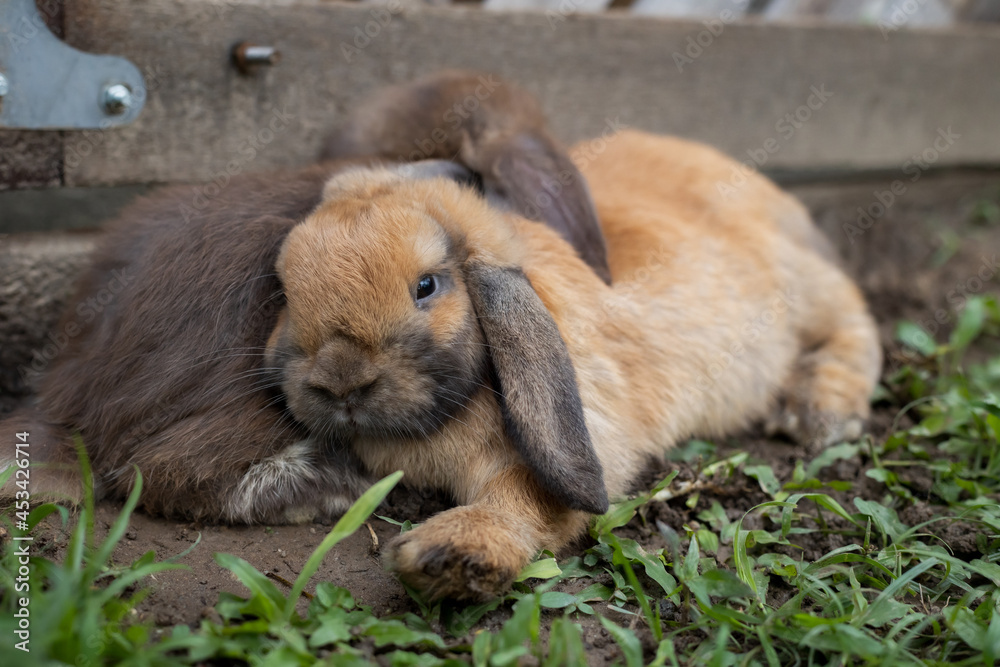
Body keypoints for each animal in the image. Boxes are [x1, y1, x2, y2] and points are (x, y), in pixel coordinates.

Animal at [263, 129, 881, 600]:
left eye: (426, 286)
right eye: (287, 291)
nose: (340, 381)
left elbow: (518, 501)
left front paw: (449, 556)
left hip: (809, 291)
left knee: (856, 329)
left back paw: (819, 414)